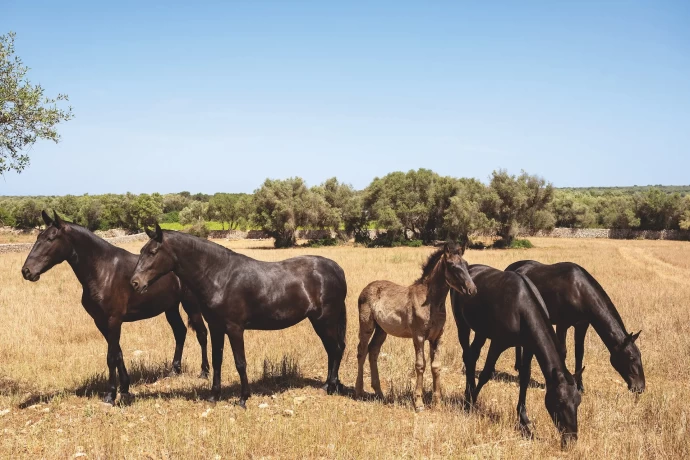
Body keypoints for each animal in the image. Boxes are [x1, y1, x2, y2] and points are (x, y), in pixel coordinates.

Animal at [21, 211, 210, 402]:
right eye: (38, 237)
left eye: (51, 238)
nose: (27, 271)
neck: (102, 270)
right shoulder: (101, 322)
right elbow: (118, 354)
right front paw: (125, 387)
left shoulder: (113, 320)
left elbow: (111, 356)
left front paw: (110, 394)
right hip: (170, 307)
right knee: (180, 332)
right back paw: (174, 370)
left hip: (191, 305)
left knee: (201, 333)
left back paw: (204, 372)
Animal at [127, 225, 344, 408]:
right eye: (141, 251)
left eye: (152, 252)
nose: (135, 283)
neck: (221, 276)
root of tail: (335, 268)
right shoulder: (215, 327)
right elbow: (217, 360)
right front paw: (214, 395)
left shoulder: (235, 328)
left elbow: (240, 363)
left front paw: (243, 398)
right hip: (320, 322)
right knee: (332, 350)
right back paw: (327, 385)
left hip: (325, 320)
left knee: (336, 349)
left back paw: (331, 386)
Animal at [354, 243, 472, 412]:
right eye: (451, 265)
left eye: (466, 264)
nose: (472, 289)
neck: (431, 303)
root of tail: (366, 288)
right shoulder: (419, 336)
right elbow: (420, 365)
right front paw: (419, 403)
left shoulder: (437, 337)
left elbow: (436, 367)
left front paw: (437, 404)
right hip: (367, 325)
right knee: (362, 351)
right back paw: (358, 391)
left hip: (382, 330)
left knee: (373, 351)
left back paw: (379, 392)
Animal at [452, 264, 580, 448]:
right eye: (560, 402)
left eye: (578, 401)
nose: (571, 439)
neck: (522, 306)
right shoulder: (498, 343)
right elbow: (485, 374)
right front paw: (470, 404)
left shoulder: (529, 346)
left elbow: (525, 378)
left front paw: (523, 419)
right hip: (462, 324)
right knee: (467, 356)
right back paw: (468, 395)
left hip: (481, 332)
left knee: (472, 355)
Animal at [502, 260, 644, 394]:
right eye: (631, 358)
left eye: (639, 356)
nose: (640, 388)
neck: (578, 291)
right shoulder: (562, 325)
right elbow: (562, 352)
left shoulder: (582, 325)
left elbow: (579, 353)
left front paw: (580, 386)